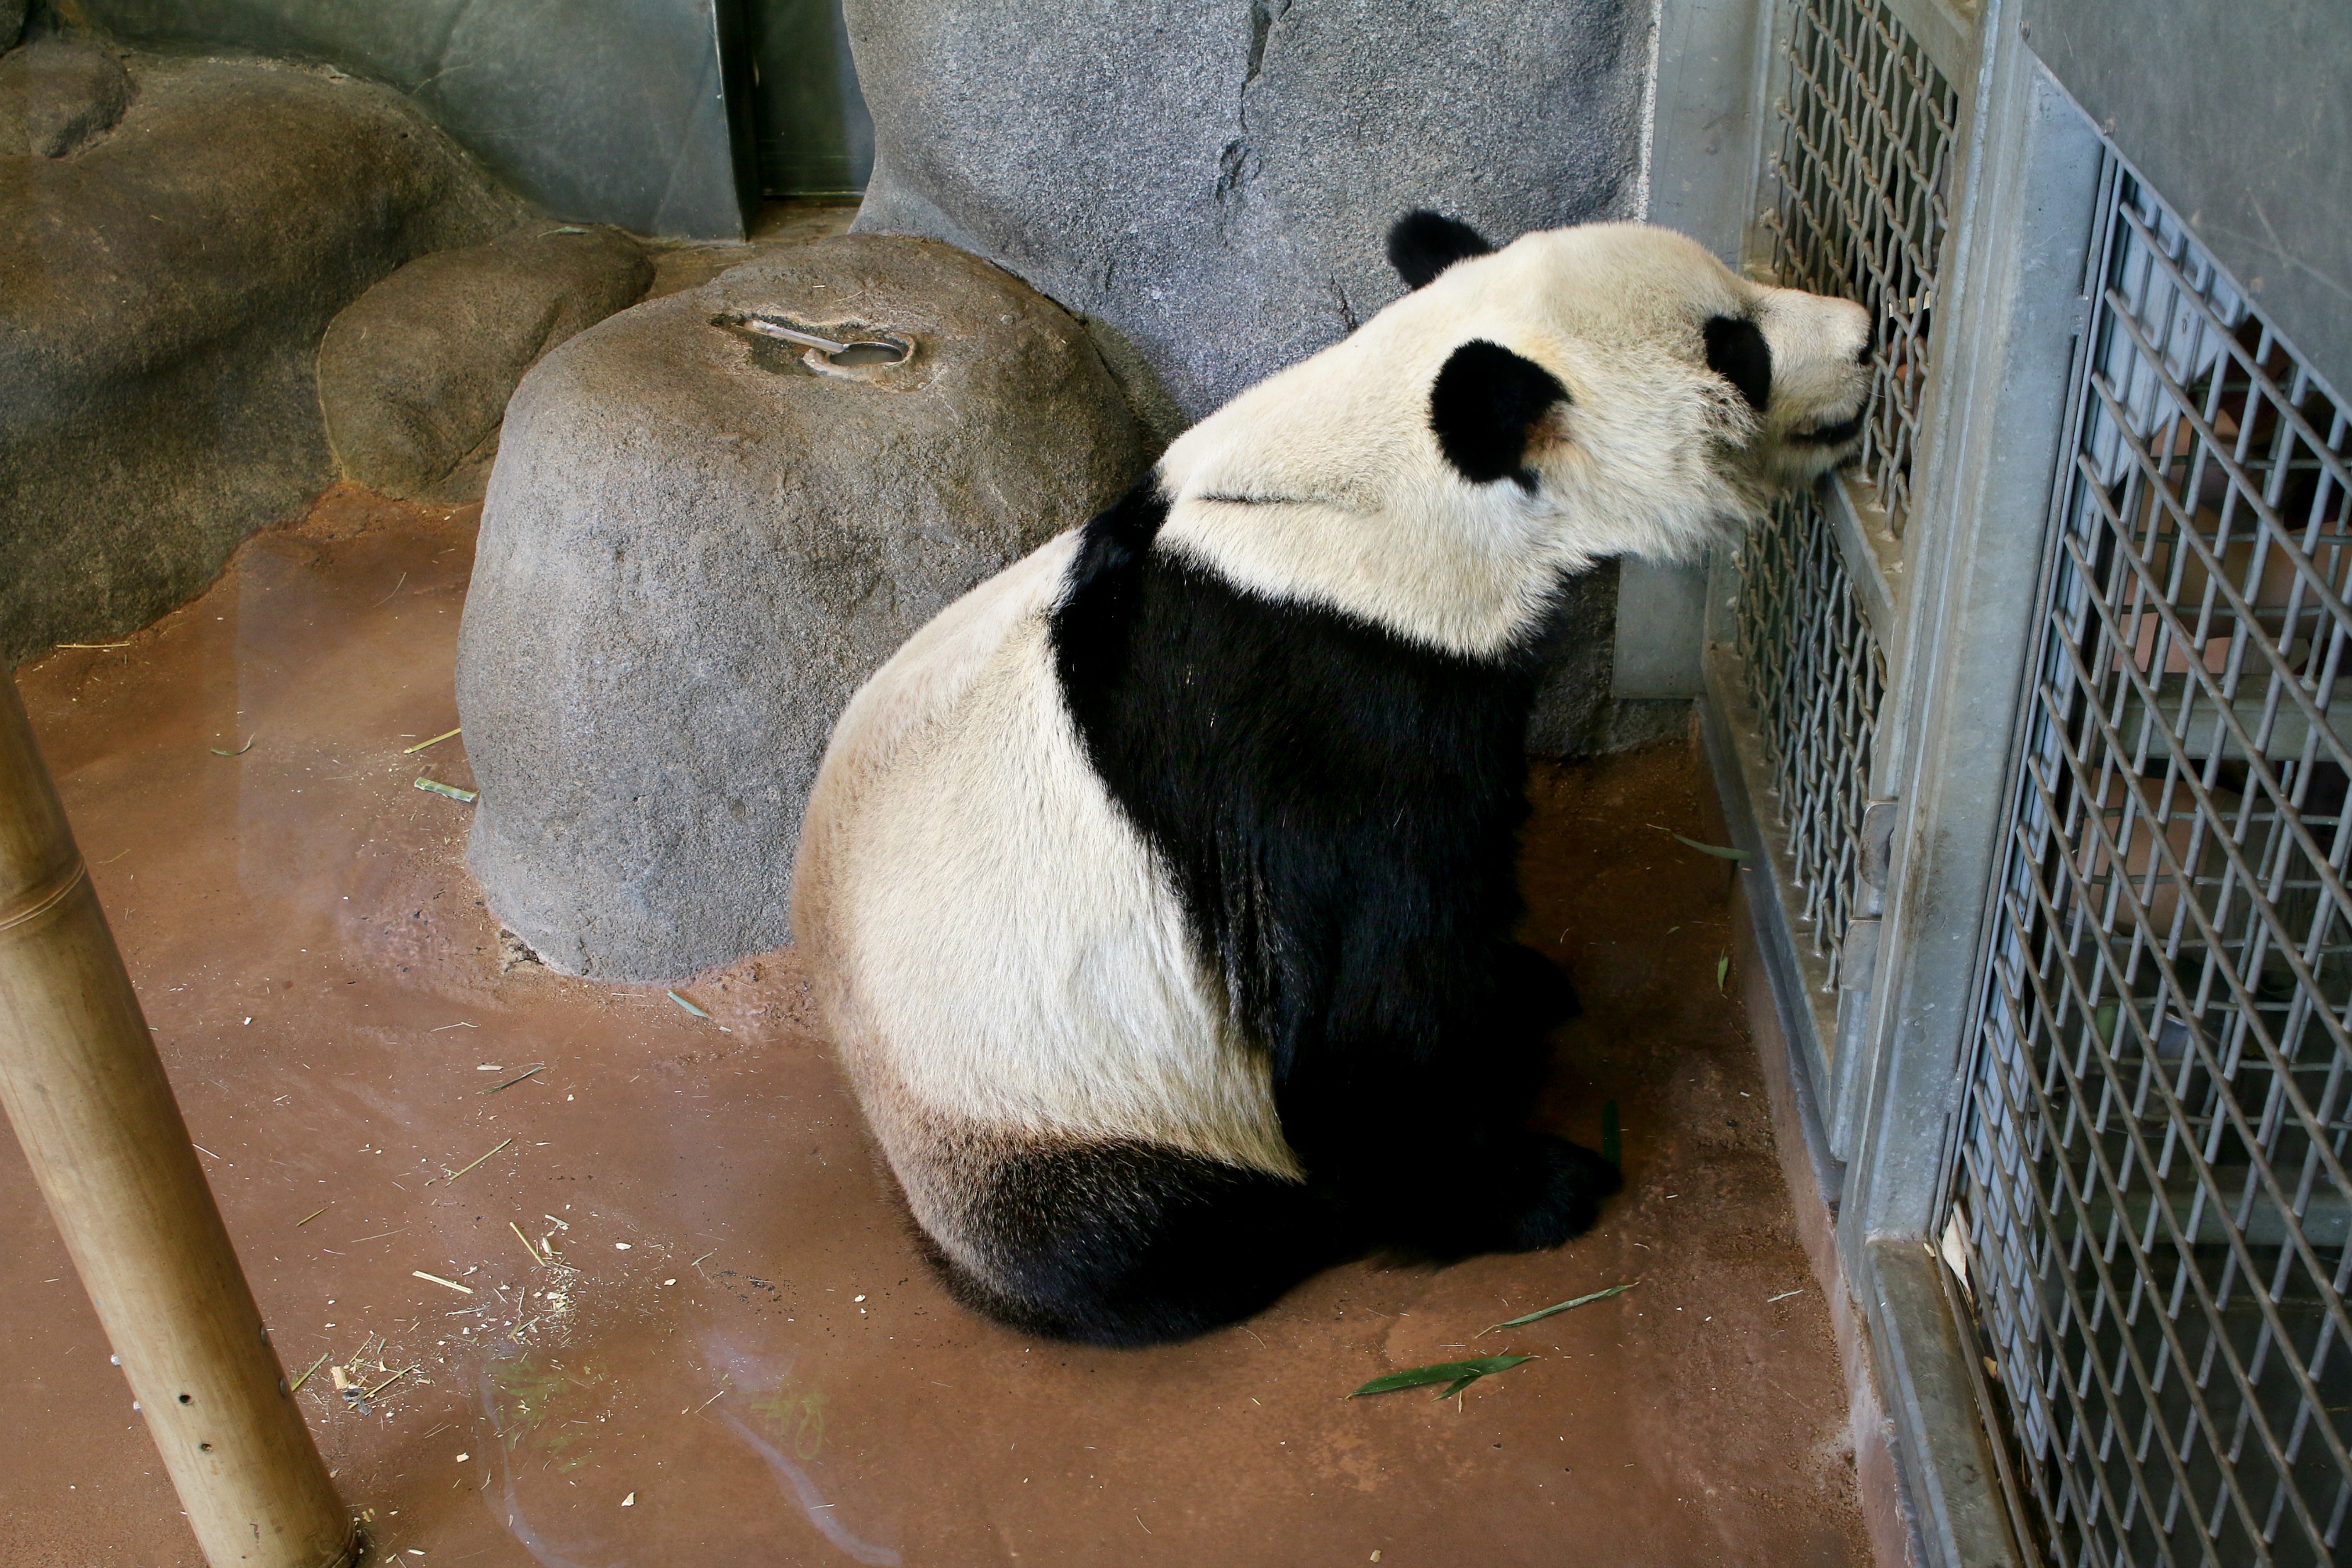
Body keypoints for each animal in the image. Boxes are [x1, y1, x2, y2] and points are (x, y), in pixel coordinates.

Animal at [792, 212, 1872, 1347]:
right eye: (1736, 350)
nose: (1866, 334)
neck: (1365, 493)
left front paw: (1521, 988)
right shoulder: (1329, 700)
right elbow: (1375, 996)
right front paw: (1531, 1184)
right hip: (1047, 1108)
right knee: (1150, 1242)